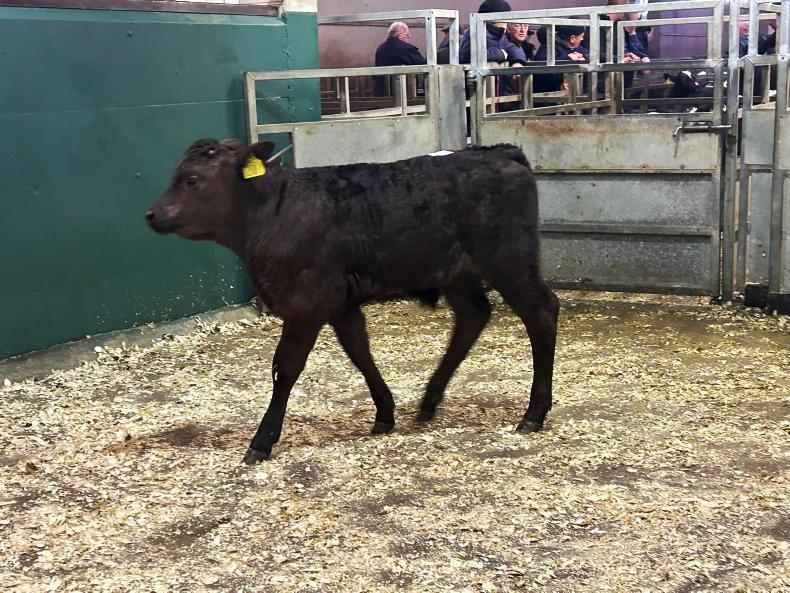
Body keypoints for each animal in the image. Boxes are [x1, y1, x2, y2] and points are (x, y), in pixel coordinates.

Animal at [145, 139, 559, 464]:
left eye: (192, 179)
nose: (151, 214)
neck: (276, 212)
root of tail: (499, 152)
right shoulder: (339, 302)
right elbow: (359, 350)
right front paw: (385, 413)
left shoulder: (306, 302)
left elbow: (286, 367)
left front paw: (262, 441)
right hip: (458, 272)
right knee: (473, 316)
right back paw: (429, 401)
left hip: (509, 260)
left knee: (541, 312)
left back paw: (533, 413)